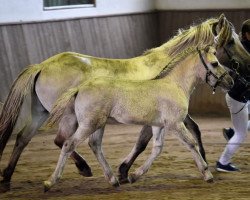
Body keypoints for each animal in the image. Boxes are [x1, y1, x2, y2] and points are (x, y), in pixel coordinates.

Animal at [43, 45, 232, 191]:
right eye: (215, 63)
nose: (230, 81)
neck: (175, 84)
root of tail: (80, 87)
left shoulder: (158, 125)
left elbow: (157, 148)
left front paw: (133, 175)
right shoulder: (175, 124)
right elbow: (191, 143)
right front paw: (207, 174)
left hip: (99, 124)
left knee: (95, 145)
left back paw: (113, 180)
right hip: (89, 124)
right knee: (68, 144)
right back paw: (50, 182)